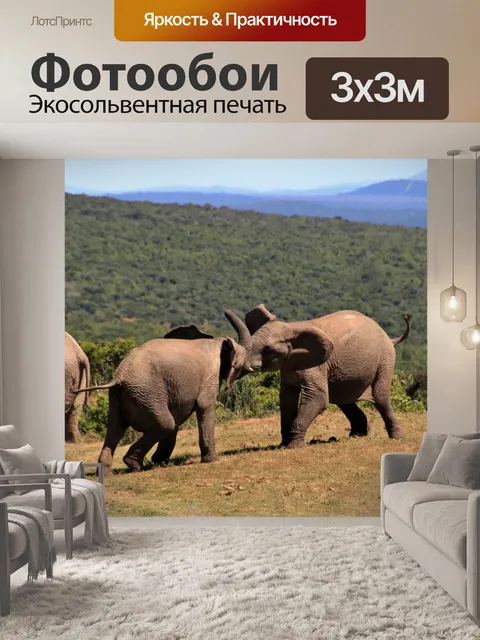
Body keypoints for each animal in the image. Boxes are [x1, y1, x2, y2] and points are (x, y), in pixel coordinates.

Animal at [74, 320, 251, 473]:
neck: (216, 342)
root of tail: (119, 376)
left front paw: (159, 461)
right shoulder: (210, 376)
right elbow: (204, 405)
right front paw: (212, 460)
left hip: (121, 396)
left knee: (115, 427)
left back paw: (107, 471)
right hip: (146, 393)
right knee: (165, 424)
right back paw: (134, 465)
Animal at [224, 305, 411, 448]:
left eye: (268, 350)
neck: (292, 328)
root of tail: (390, 338)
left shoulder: (316, 366)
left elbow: (317, 397)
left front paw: (294, 446)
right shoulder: (289, 366)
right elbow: (286, 400)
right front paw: (282, 446)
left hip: (385, 359)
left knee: (380, 397)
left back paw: (396, 438)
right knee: (342, 399)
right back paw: (356, 436)